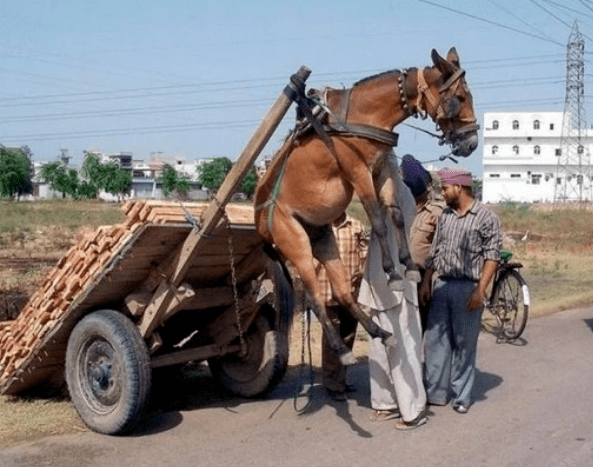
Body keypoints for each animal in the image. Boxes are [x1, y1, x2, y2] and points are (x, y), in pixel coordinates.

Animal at [252, 47, 478, 364]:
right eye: (458, 97)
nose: (472, 143)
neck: (364, 115)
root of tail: (260, 223)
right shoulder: (358, 172)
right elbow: (379, 221)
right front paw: (393, 274)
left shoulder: (382, 169)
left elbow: (396, 215)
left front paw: (408, 265)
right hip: (295, 244)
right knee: (314, 298)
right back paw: (341, 349)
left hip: (322, 239)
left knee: (343, 292)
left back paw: (380, 333)